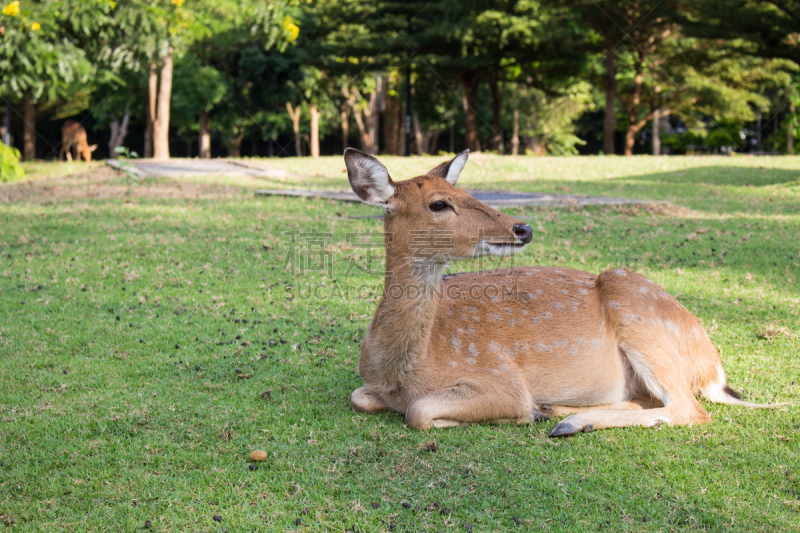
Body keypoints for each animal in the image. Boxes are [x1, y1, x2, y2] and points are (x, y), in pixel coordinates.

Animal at [346, 148, 780, 434]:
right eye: (439, 204)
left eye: (470, 195)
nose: (522, 228)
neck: (400, 370)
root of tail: (714, 370)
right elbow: (360, 397)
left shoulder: (500, 378)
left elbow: (418, 413)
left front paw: (524, 413)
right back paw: (557, 411)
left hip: (638, 311)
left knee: (689, 409)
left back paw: (569, 420)